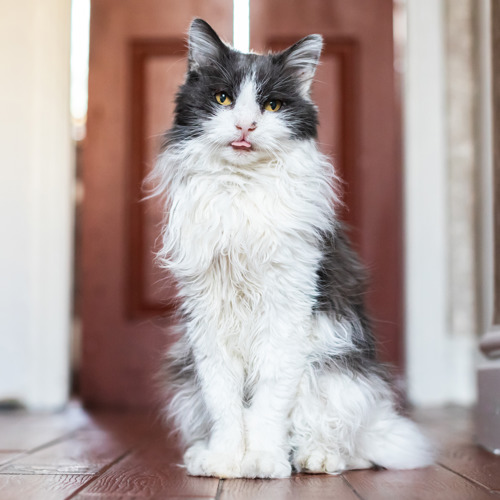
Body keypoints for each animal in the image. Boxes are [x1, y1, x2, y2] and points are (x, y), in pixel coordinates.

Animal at [149, 17, 434, 478]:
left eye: (271, 106)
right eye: (223, 98)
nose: (245, 126)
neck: (242, 191)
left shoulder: (287, 311)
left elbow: (268, 402)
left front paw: (264, 461)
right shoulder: (208, 317)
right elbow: (224, 402)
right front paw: (225, 461)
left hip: (337, 371)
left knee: (344, 442)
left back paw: (314, 459)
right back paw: (202, 454)